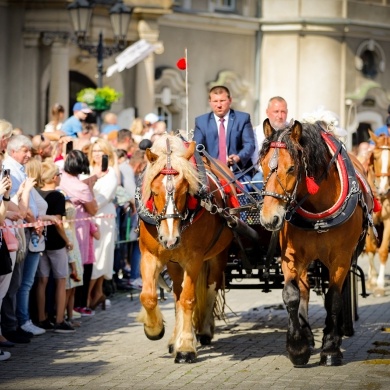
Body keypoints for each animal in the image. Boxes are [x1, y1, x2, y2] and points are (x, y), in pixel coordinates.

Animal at [136, 133, 236, 362]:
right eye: (154, 192)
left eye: (184, 192)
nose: (170, 239)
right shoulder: (150, 255)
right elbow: (148, 296)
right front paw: (154, 329)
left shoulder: (194, 260)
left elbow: (189, 299)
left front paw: (186, 346)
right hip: (173, 263)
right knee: (176, 294)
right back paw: (175, 338)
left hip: (218, 256)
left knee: (209, 287)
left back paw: (203, 331)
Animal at [258, 119, 372, 366]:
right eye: (262, 166)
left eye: (292, 168)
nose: (269, 219)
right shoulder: (291, 256)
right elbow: (291, 295)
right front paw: (297, 347)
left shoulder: (341, 259)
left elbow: (334, 299)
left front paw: (330, 348)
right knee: (304, 290)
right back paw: (307, 335)